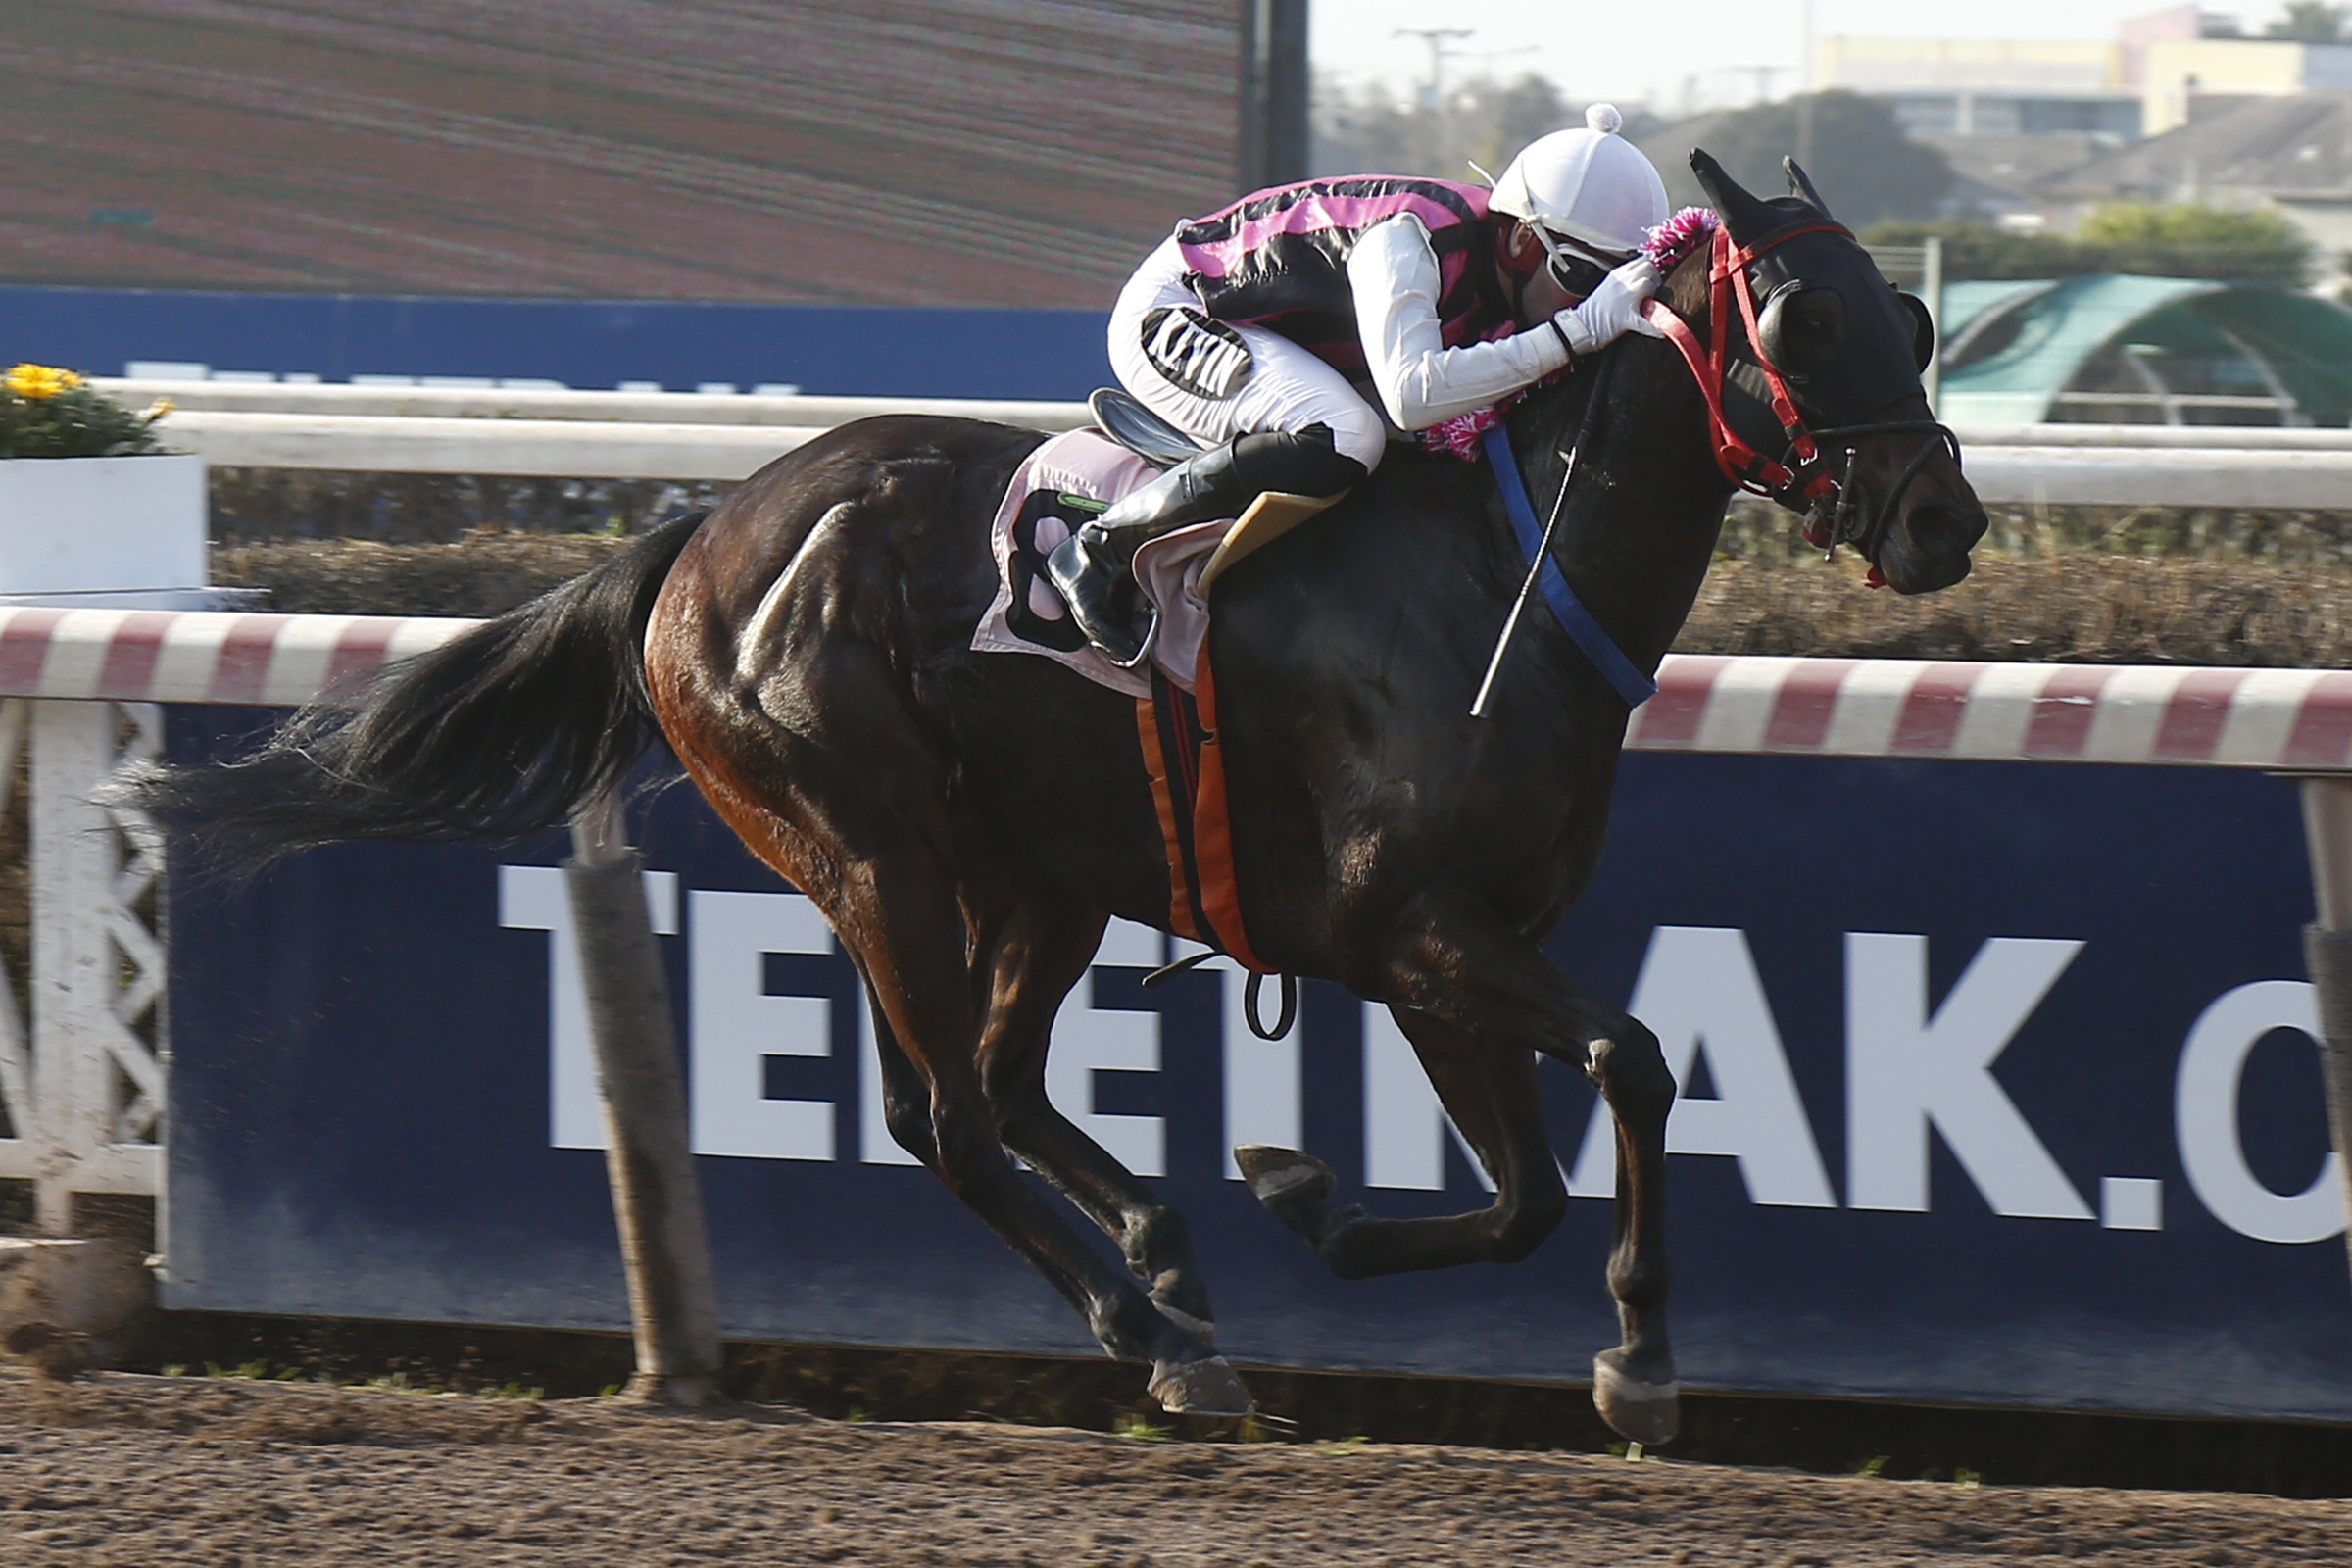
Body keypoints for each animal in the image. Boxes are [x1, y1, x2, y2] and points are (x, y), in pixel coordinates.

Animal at [133, 152, 1986, 1444]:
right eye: (1805, 321)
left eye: (1912, 319)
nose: (1943, 520)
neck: (1503, 584)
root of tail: (701, 535)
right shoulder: (1411, 924)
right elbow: (1636, 1061)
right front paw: (1645, 1355)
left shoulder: (1438, 947)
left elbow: (1529, 1185)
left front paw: (1307, 1198)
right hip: (866, 846)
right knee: (946, 1115)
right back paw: (1154, 1339)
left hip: (1040, 868)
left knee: (1008, 1089)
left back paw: (1168, 1267)